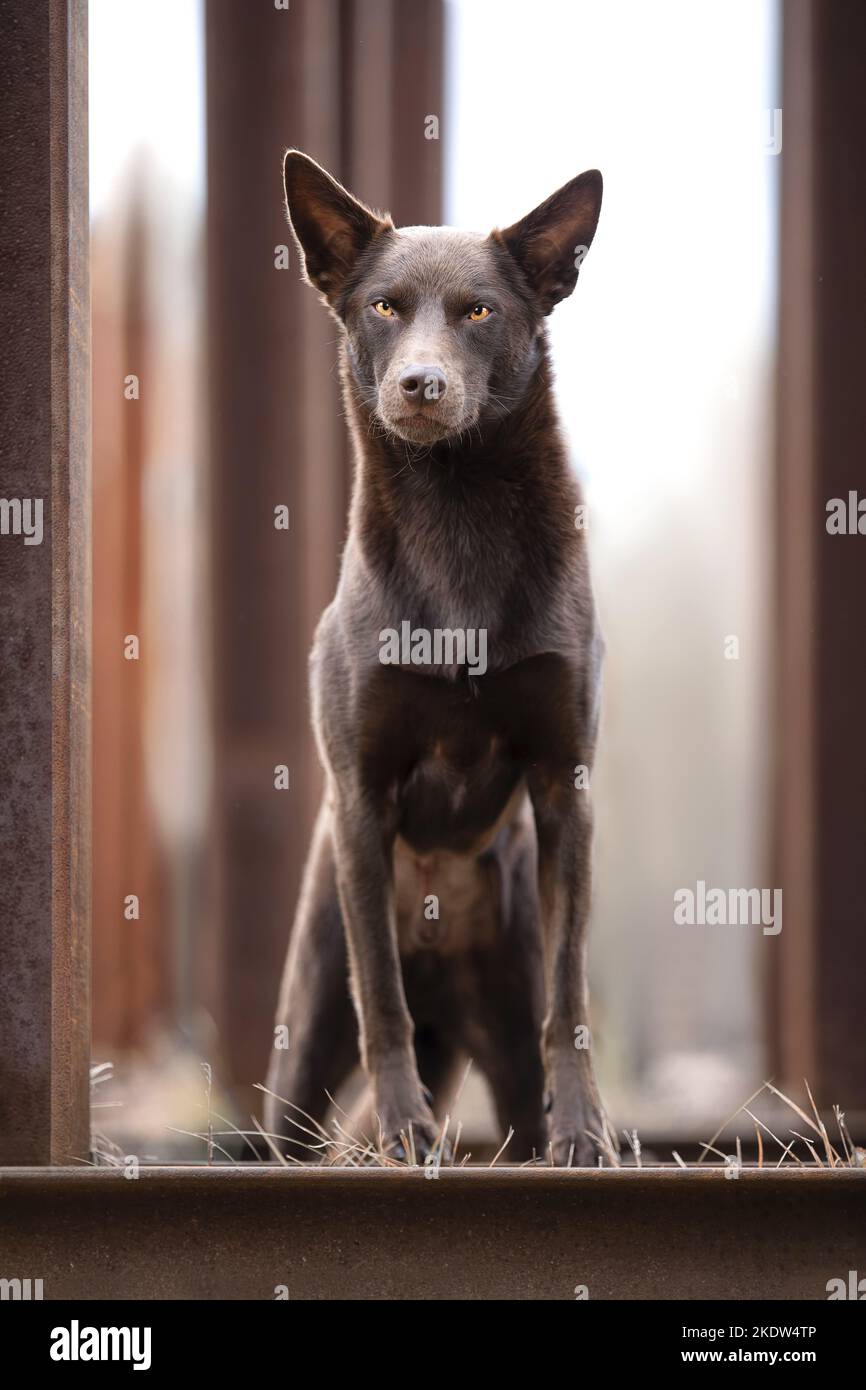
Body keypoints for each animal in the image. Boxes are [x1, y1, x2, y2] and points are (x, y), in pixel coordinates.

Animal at [268, 152, 606, 1167]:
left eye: (479, 313)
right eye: (384, 307)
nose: (420, 384)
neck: (456, 512)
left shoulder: (566, 784)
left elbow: (571, 993)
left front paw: (586, 1132)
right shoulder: (361, 795)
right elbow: (381, 995)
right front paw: (404, 1129)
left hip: (508, 1038)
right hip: (303, 1041)